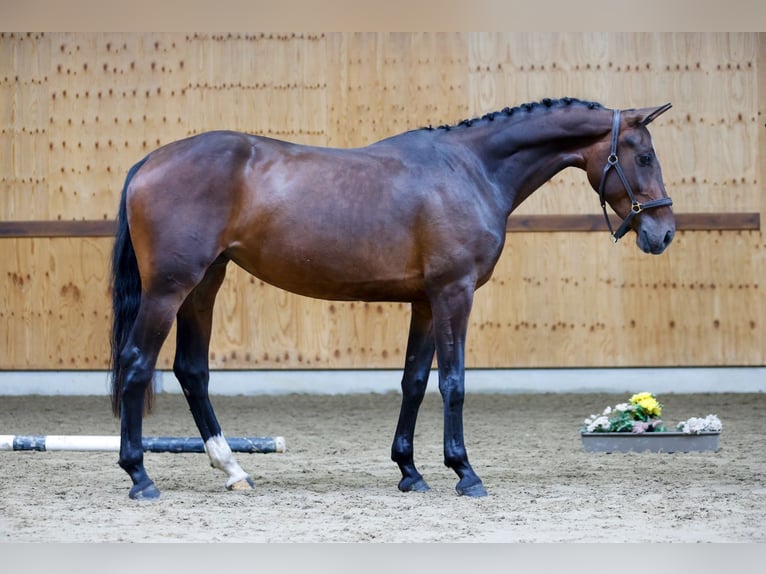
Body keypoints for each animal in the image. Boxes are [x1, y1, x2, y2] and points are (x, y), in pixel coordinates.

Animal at [111, 97, 676, 502]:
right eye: (644, 155)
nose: (664, 233)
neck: (470, 169)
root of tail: (149, 161)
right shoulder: (453, 294)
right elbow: (453, 383)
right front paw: (464, 471)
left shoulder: (425, 302)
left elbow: (415, 381)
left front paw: (410, 470)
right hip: (170, 288)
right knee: (137, 363)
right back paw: (139, 475)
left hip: (204, 285)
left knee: (192, 371)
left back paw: (233, 469)